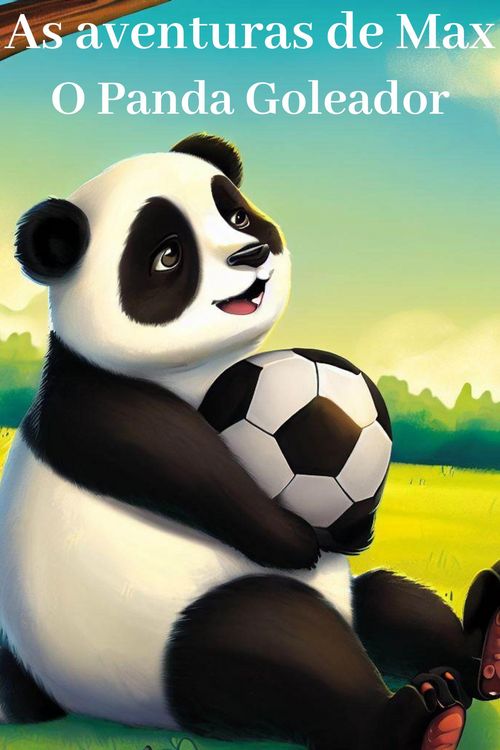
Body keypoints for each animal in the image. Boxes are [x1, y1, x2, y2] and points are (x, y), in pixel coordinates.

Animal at [0, 133, 498, 750]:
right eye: (168, 255)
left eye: (236, 215)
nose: (250, 254)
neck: (202, 369)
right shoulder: (97, 400)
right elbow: (177, 461)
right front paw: (293, 539)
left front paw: (351, 526)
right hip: (144, 652)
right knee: (268, 643)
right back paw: (420, 715)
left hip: (357, 606)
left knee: (393, 602)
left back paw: (482, 649)